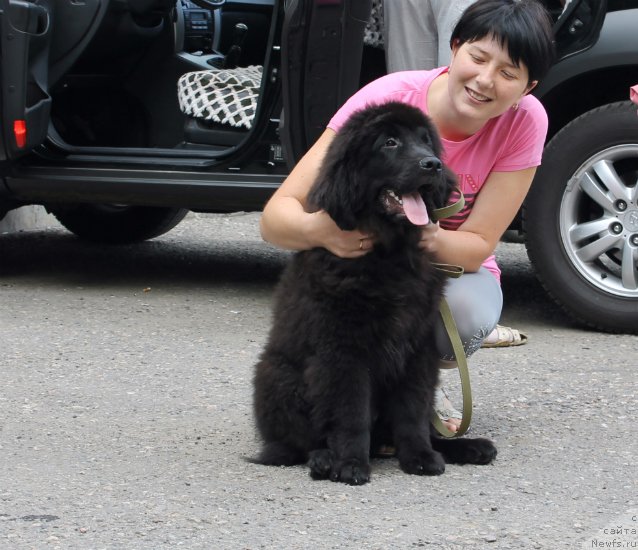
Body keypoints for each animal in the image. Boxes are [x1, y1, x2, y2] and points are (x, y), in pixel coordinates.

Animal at [252, 101, 498, 486]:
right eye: (390, 143)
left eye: (426, 141)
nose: (432, 164)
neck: (389, 254)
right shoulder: (344, 350)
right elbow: (350, 412)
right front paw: (351, 464)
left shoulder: (417, 347)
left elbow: (412, 412)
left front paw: (421, 457)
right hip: (277, 374)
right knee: (297, 444)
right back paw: (324, 459)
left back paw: (467, 447)